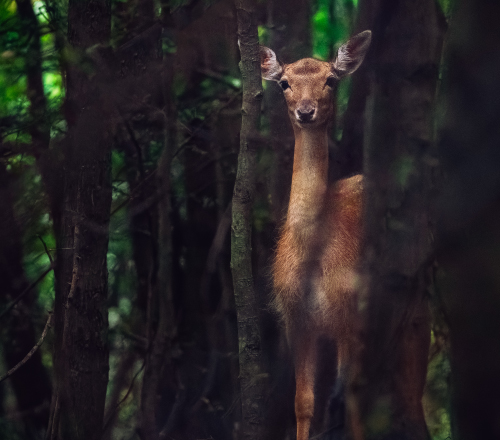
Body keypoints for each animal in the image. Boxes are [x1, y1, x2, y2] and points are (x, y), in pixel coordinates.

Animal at [262, 31, 372, 440]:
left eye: (331, 80)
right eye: (284, 83)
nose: (306, 111)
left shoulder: (350, 314)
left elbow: (353, 404)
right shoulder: (296, 319)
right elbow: (303, 403)